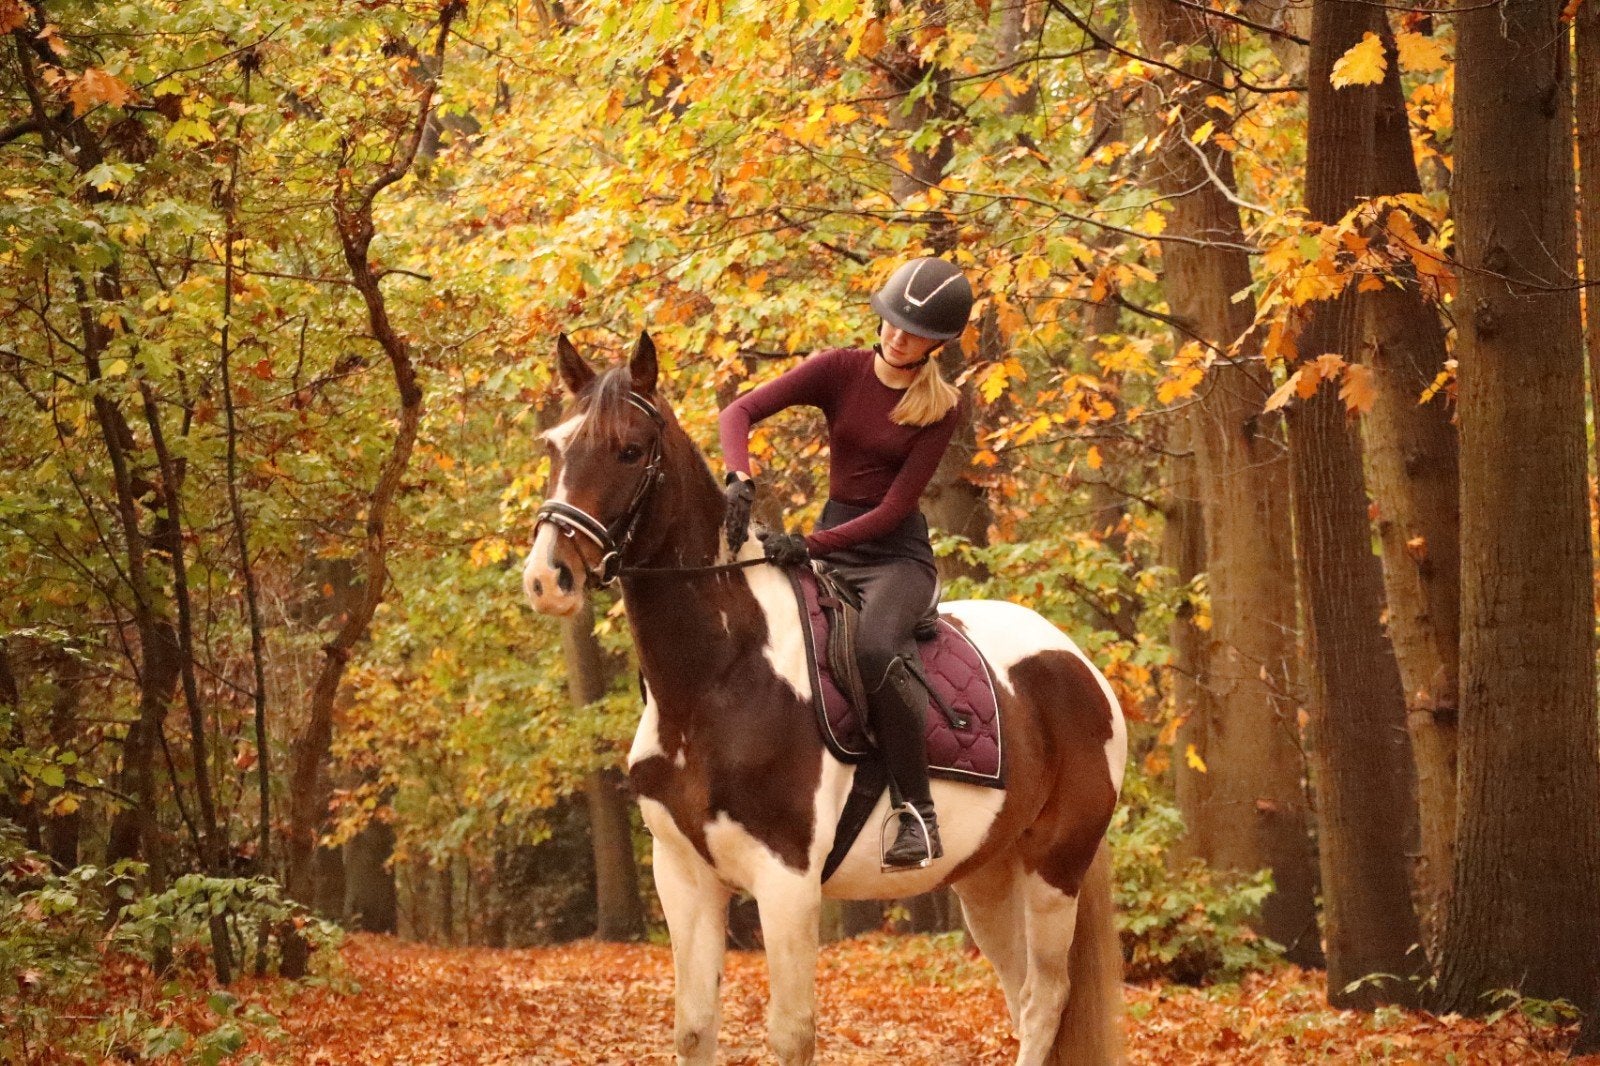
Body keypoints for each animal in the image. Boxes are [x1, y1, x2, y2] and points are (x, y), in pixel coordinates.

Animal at [522, 332, 1128, 1066]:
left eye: (630, 450)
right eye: (554, 445)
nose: (547, 578)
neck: (718, 677)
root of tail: (1081, 666)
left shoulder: (786, 884)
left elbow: (791, 1036)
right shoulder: (684, 876)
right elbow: (694, 1029)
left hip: (1054, 867)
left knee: (1043, 1003)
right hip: (987, 875)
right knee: (1022, 997)